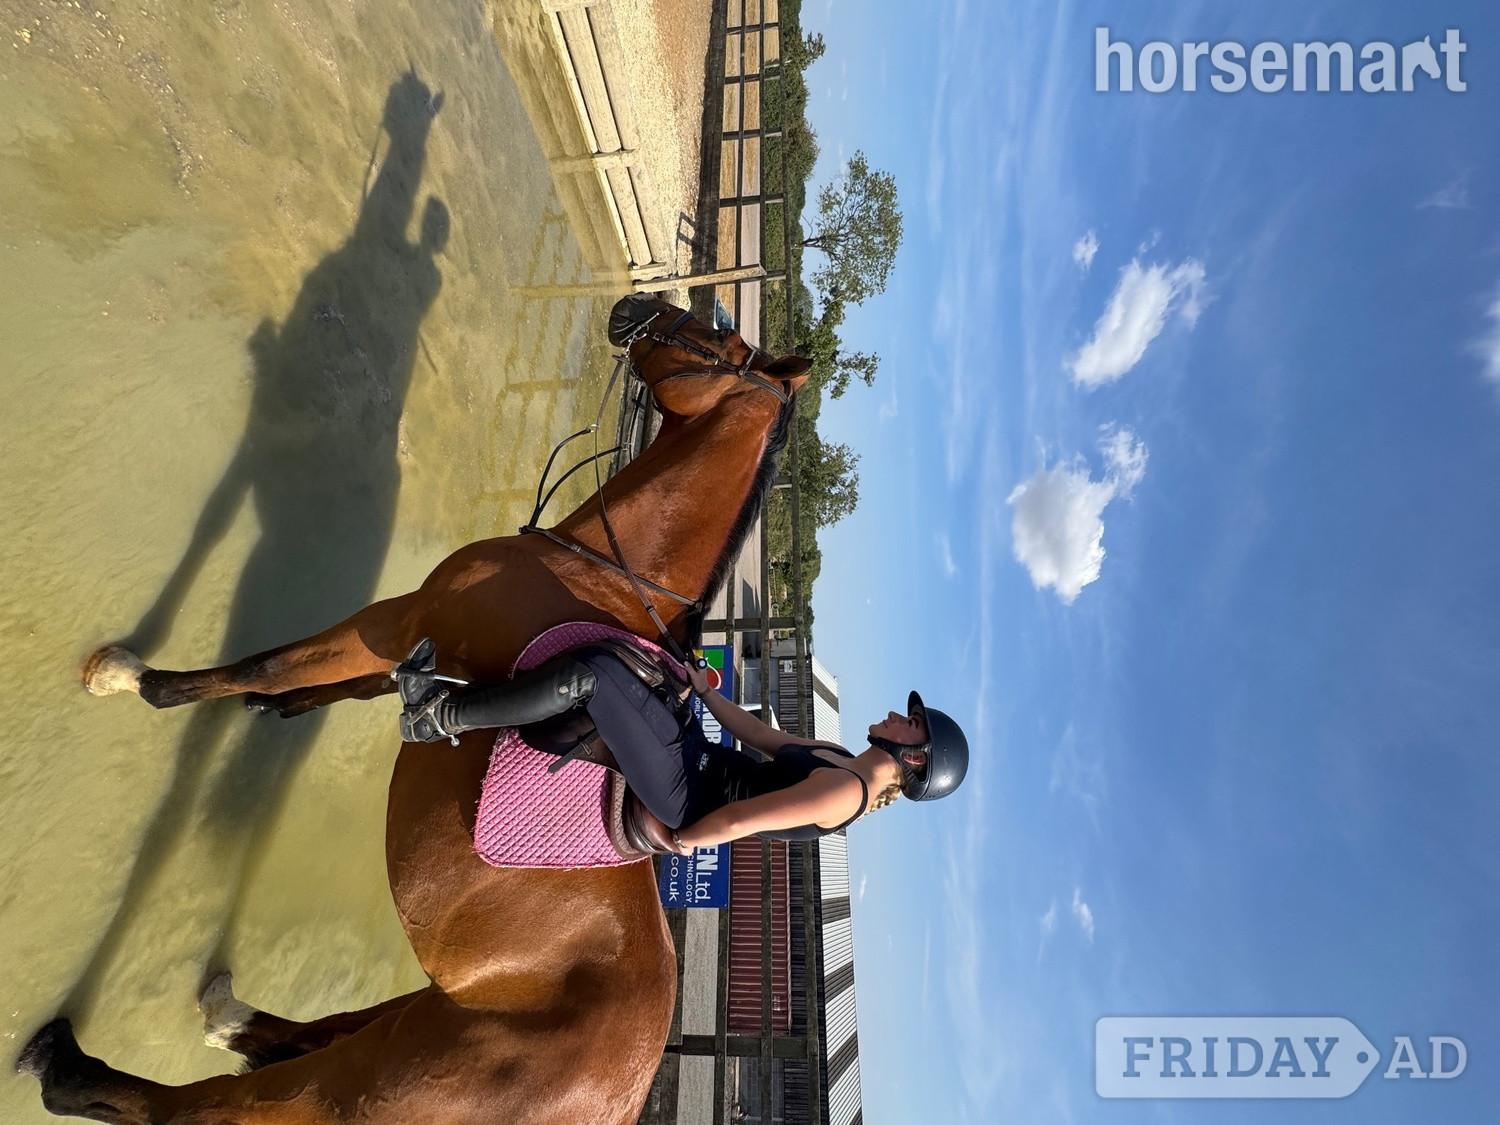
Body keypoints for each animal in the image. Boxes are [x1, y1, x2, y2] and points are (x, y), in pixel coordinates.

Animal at [19, 293, 811, 1124]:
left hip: (342, 1090)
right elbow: (320, 685)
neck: (597, 576)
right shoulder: (406, 644)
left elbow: (265, 663)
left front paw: (136, 678)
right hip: (409, 1013)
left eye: (716, 334)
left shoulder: (394, 620)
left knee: (192, 1106)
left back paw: (69, 1061)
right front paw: (275, 707)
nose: (636, 305)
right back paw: (231, 1016)